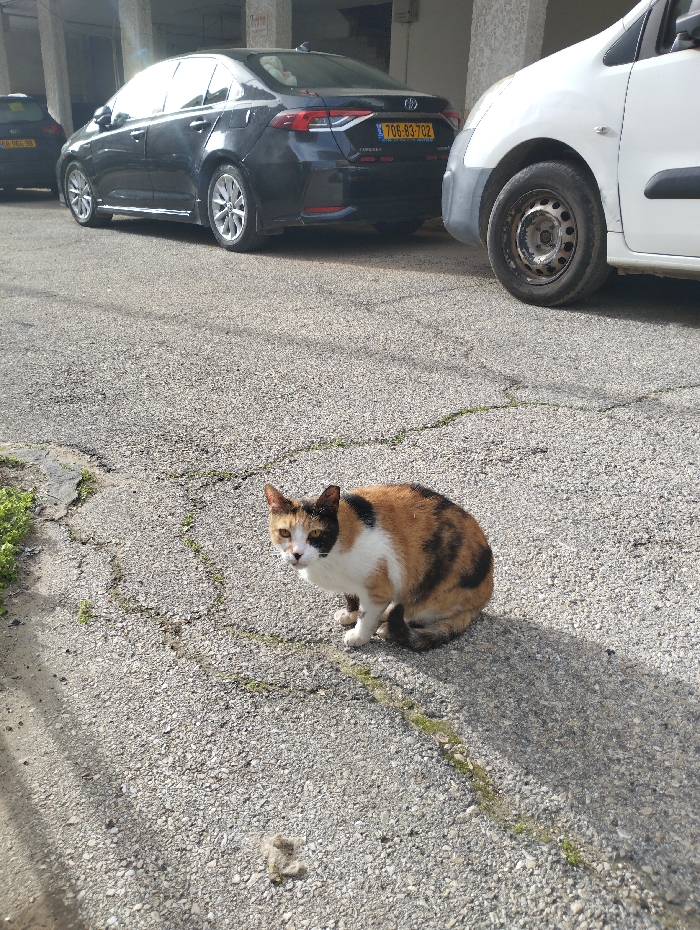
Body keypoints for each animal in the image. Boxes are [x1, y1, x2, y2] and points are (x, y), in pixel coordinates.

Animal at [264, 482, 493, 651]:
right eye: (284, 532)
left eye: (315, 533)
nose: (297, 554)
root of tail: (484, 596)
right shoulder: (351, 584)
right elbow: (351, 597)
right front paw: (350, 614)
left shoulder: (378, 587)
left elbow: (367, 616)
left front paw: (358, 635)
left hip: (431, 589)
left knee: (414, 612)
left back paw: (386, 627)